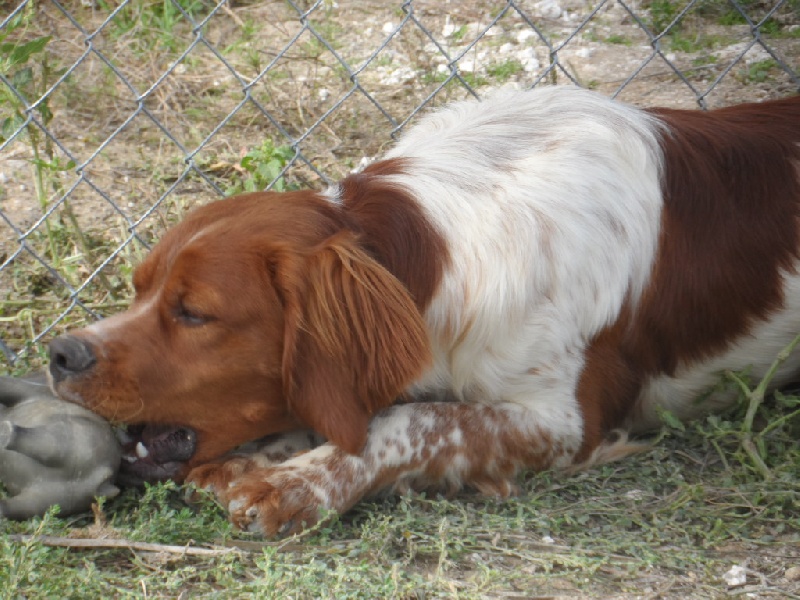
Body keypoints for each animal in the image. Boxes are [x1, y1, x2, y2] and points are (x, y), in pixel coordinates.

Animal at [48, 84, 800, 536]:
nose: (60, 353)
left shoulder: (564, 423)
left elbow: (409, 420)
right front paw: (262, 457)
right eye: (139, 288)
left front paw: (294, 483)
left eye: (193, 313)